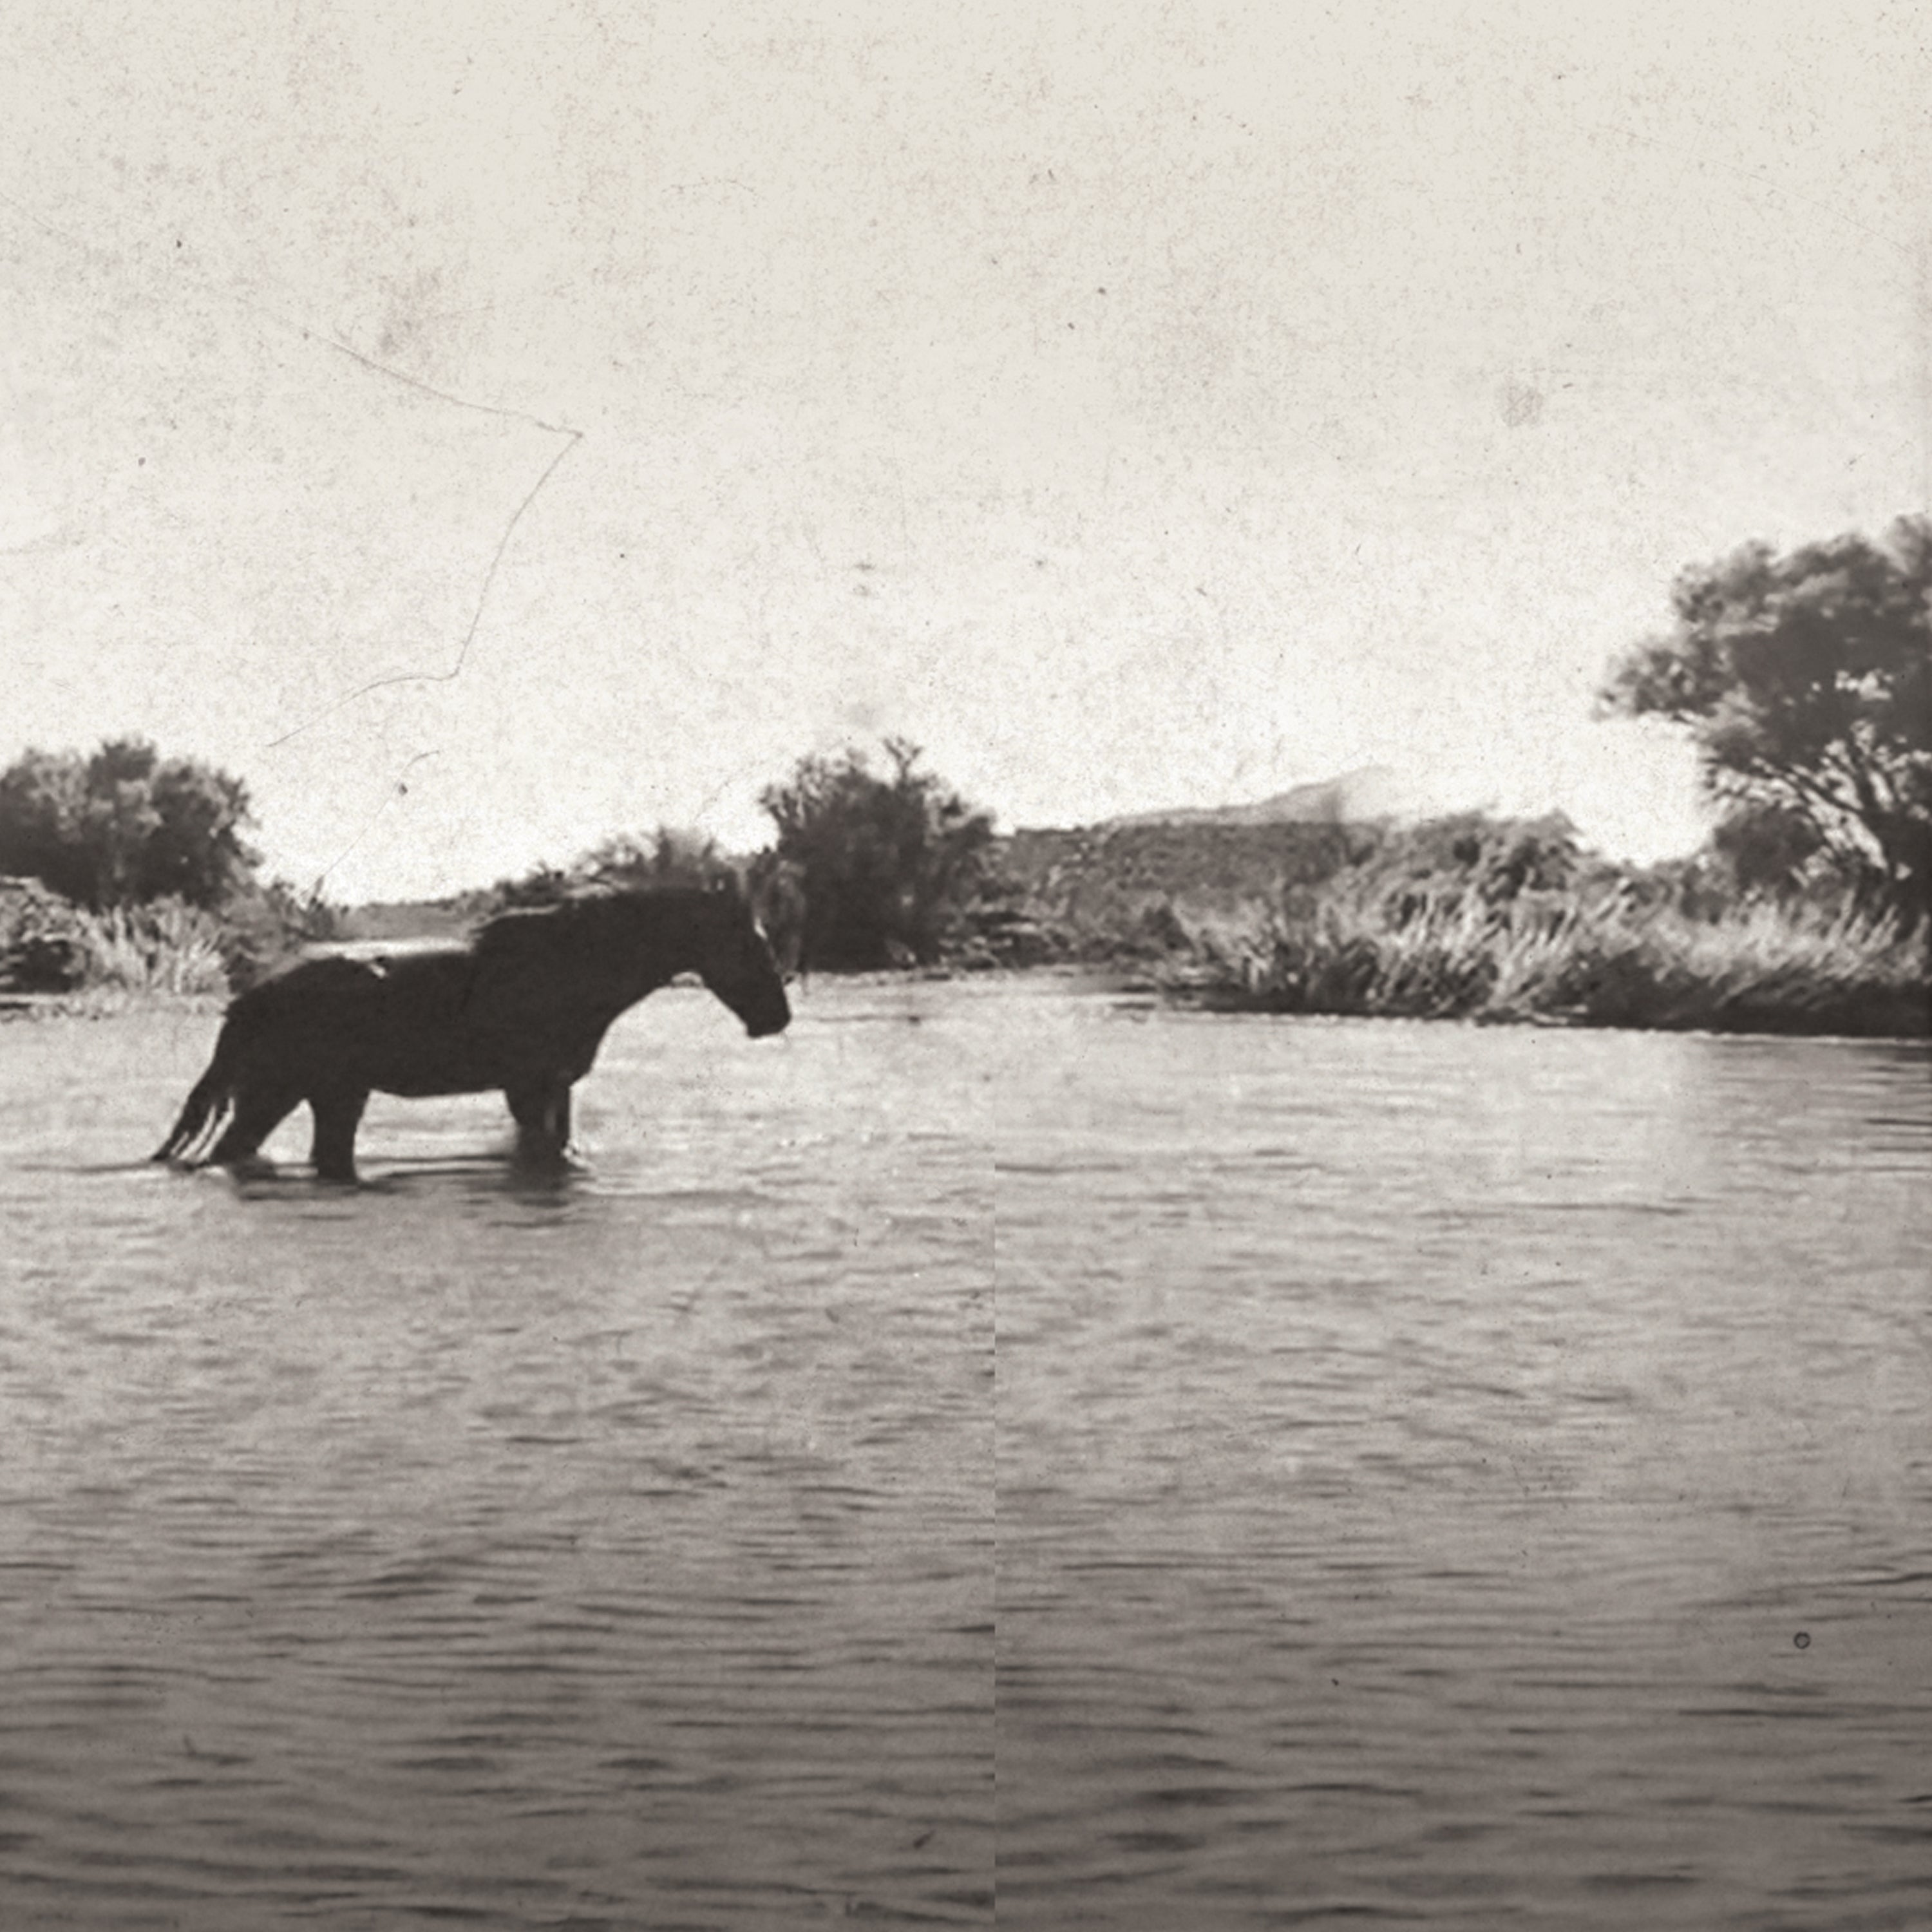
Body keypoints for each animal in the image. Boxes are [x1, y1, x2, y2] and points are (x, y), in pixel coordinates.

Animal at [152, 886, 791, 1182]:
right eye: (749, 941)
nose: (777, 1017)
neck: (579, 966)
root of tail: (247, 1000)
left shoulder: (552, 1086)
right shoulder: (533, 1086)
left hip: (332, 1096)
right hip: (279, 1093)